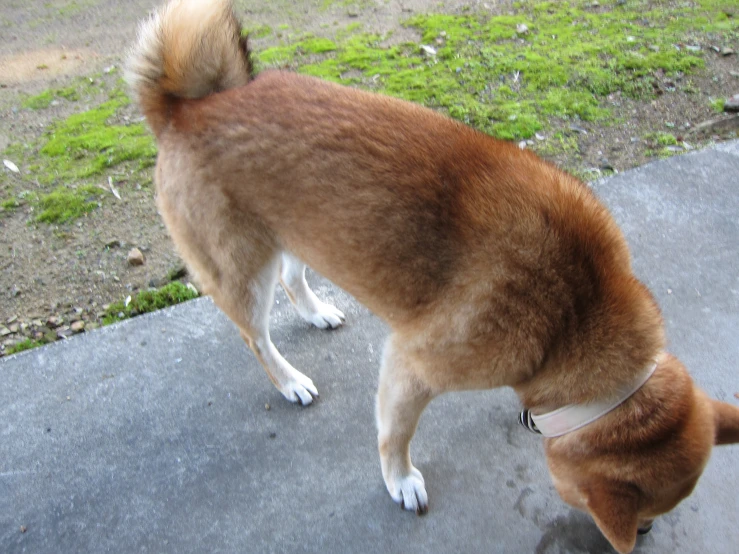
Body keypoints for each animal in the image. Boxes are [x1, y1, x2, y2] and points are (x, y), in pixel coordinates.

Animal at [127, 2, 739, 548]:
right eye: (645, 513)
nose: (647, 533)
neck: (576, 309)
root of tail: (181, 109)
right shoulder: (411, 366)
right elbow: (395, 436)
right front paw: (400, 481)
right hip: (243, 270)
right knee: (255, 336)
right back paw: (290, 380)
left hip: (304, 231)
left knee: (292, 279)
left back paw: (317, 311)